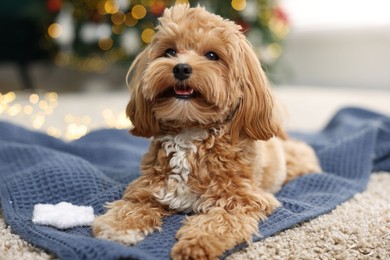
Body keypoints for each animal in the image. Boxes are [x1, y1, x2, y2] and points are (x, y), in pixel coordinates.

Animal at [93, 3, 322, 258]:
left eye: (212, 55)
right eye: (169, 52)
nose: (181, 68)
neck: (189, 132)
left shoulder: (243, 200)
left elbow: (220, 220)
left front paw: (197, 243)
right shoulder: (147, 189)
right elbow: (131, 207)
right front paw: (117, 226)